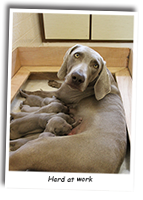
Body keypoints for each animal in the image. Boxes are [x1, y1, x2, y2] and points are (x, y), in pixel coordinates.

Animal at [9, 44, 127, 173]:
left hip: (38, 146)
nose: (78, 78)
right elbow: (60, 83)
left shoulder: (61, 94)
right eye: (77, 55)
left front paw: (25, 91)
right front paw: (54, 82)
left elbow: (40, 92)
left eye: (95, 65)